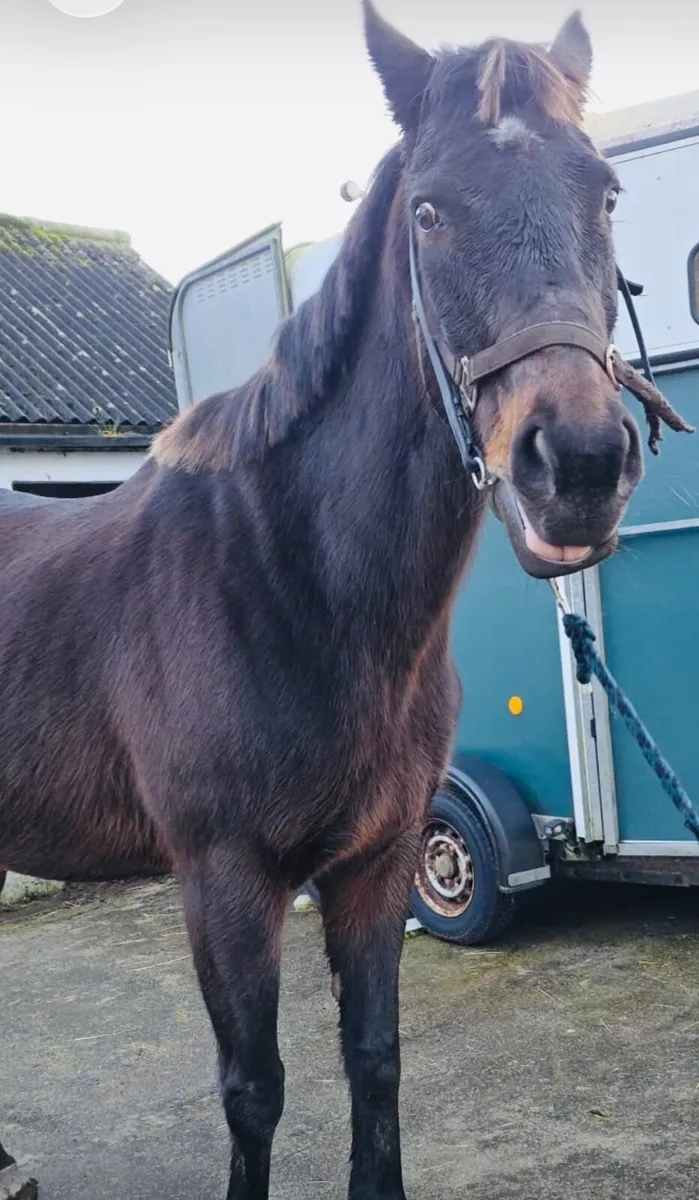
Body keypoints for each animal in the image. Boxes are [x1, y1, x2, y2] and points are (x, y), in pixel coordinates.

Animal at [0, 3, 692, 1196]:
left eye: (605, 193)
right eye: (427, 210)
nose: (580, 464)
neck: (293, 586)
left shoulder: (375, 864)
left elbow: (373, 1058)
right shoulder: (226, 880)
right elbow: (254, 1092)